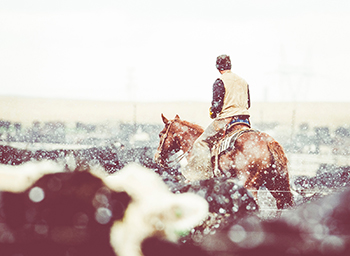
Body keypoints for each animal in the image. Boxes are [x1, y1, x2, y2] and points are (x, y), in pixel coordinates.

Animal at [154, 113, 294, 210]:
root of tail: (268, 141)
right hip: (274, 183)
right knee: (282, 203)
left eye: (161, 134)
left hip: (250, 185)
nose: (156, 157)